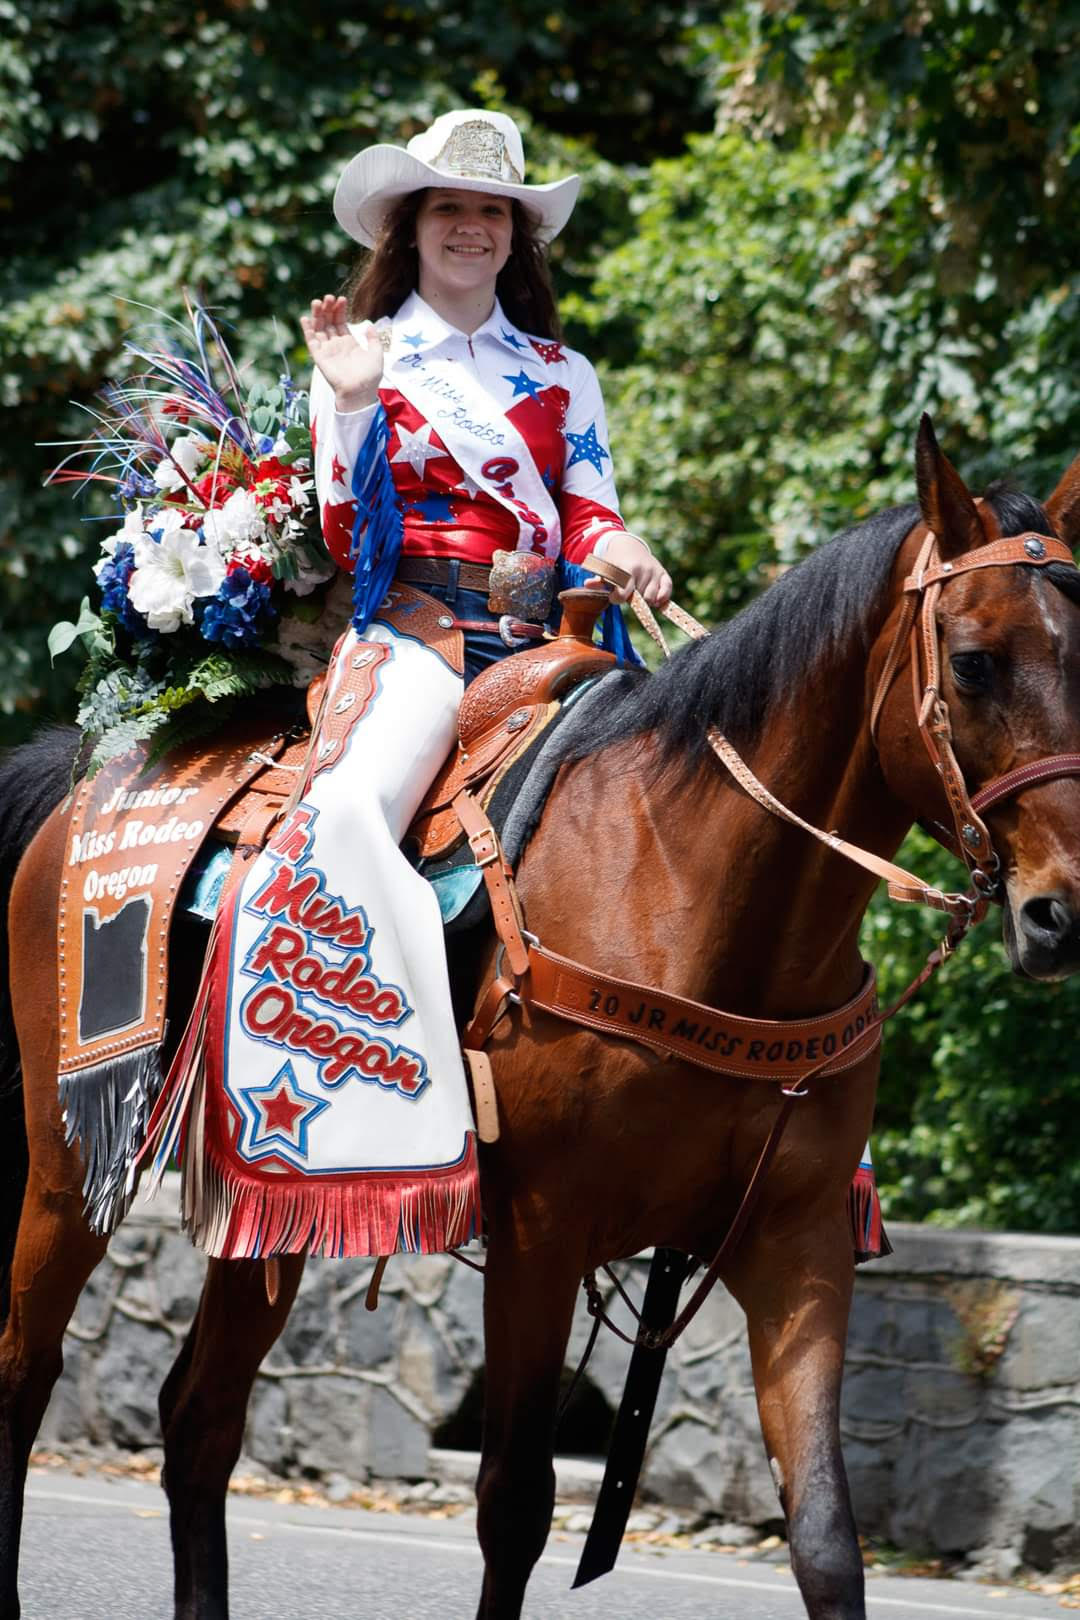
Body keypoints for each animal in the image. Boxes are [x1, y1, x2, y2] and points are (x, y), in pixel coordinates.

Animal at [2, 417, 1080, 1620]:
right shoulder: (541, 1232)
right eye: (975, 660)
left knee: (198, 1418)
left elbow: (826, 1538)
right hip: (67, 1163)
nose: (1062, 912)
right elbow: (512, 1505)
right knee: (26, 1371)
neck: (695, 894)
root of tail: (93, 770)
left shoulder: (796, 1242)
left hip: (273, 1195)